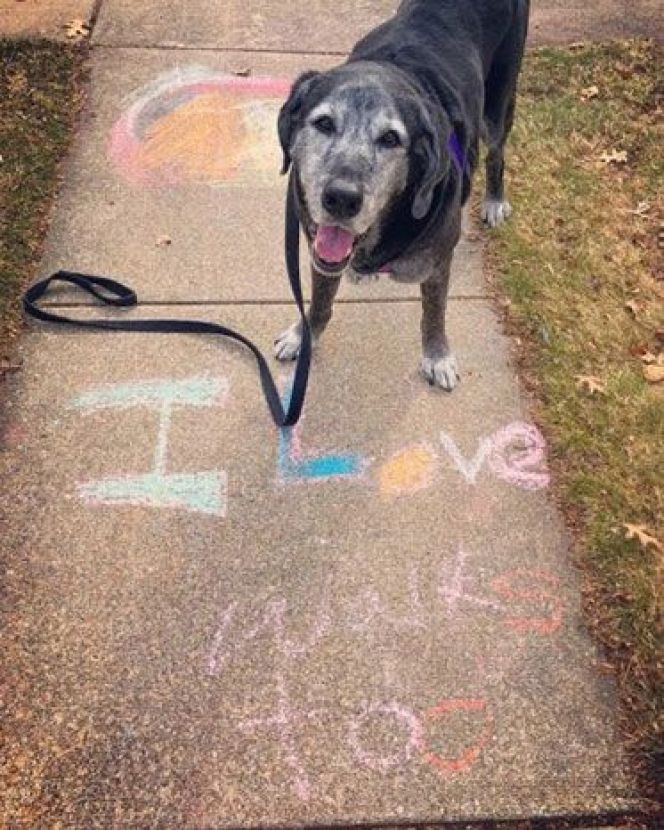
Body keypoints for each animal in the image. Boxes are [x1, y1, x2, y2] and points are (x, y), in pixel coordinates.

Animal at [272, 0, 528, 392]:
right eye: (324, 123)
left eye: (391, 139)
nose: (341, 199)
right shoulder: (321, 251)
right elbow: (320, 301)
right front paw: (304, 335)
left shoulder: (437, 263)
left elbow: (434, 314)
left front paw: (437, 356)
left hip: (499, 104)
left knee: (497, 153)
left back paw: (494, 201)